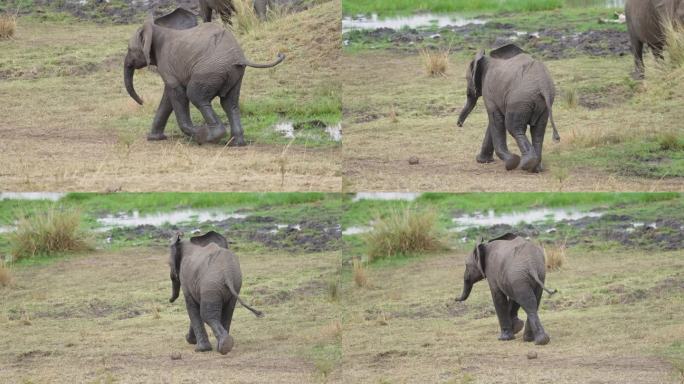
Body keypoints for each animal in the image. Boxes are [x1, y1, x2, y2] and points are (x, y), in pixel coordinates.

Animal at [456, 43, 560, 172]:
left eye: (467, 79)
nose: (459, 124)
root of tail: (543, 85)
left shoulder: (488, 91)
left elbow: (496, 120)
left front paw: (510, 162)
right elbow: (495, 122)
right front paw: (483, 161)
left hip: (519, 100)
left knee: (514, 127)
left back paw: (526, 164)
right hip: (543, 105)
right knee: (538, 131)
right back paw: (536, 168)